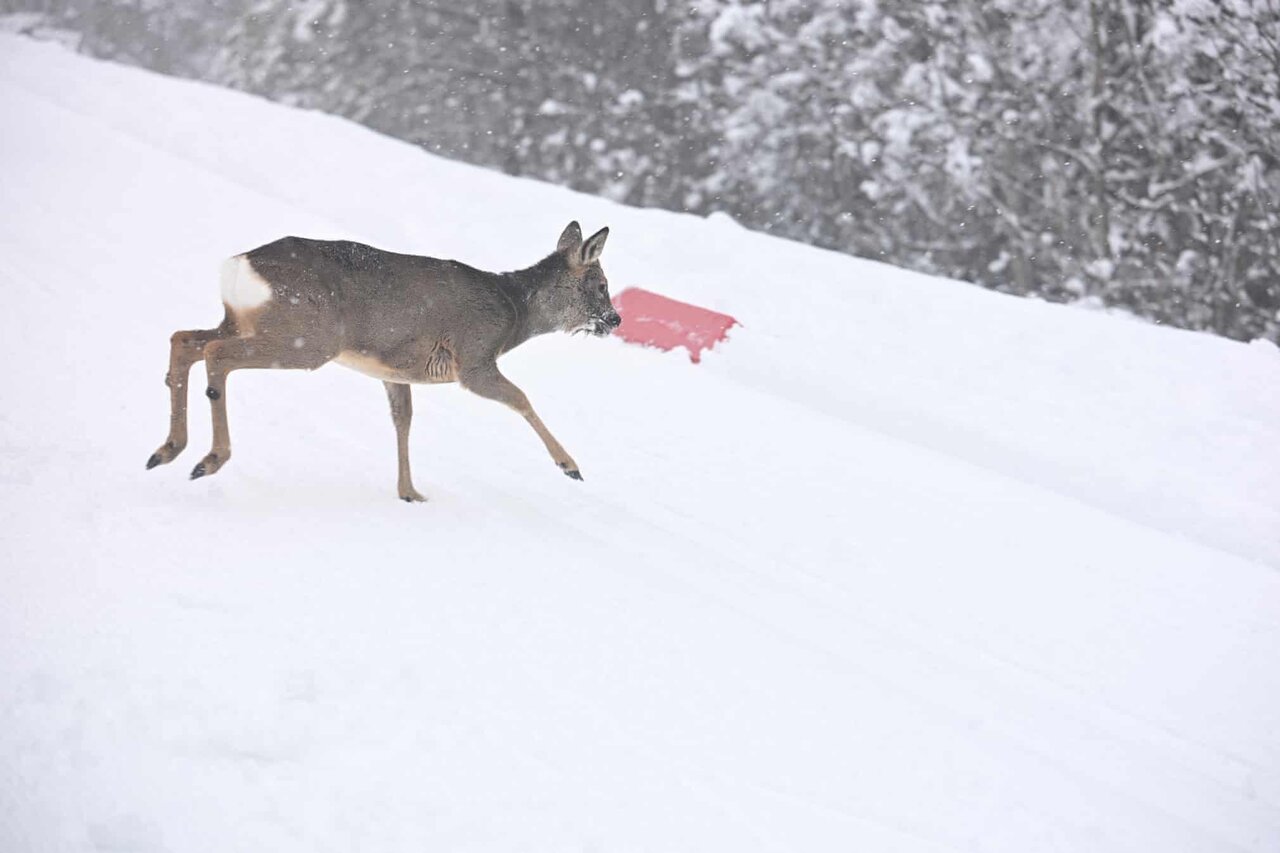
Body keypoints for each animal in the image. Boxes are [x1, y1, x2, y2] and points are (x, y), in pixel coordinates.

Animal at [147, 220, 622, 499]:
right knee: (215, 354)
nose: (615, 319)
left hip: (247, 322)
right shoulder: (472, 359)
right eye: (601, 284)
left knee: (184, 339)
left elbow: (402, 420)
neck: (513, 312)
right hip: (309, 338)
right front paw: (570, 466)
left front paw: (409, 492)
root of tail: (240, 265)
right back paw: (209, 458)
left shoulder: (398, 371)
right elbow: (521, 398)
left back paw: (167, 450)